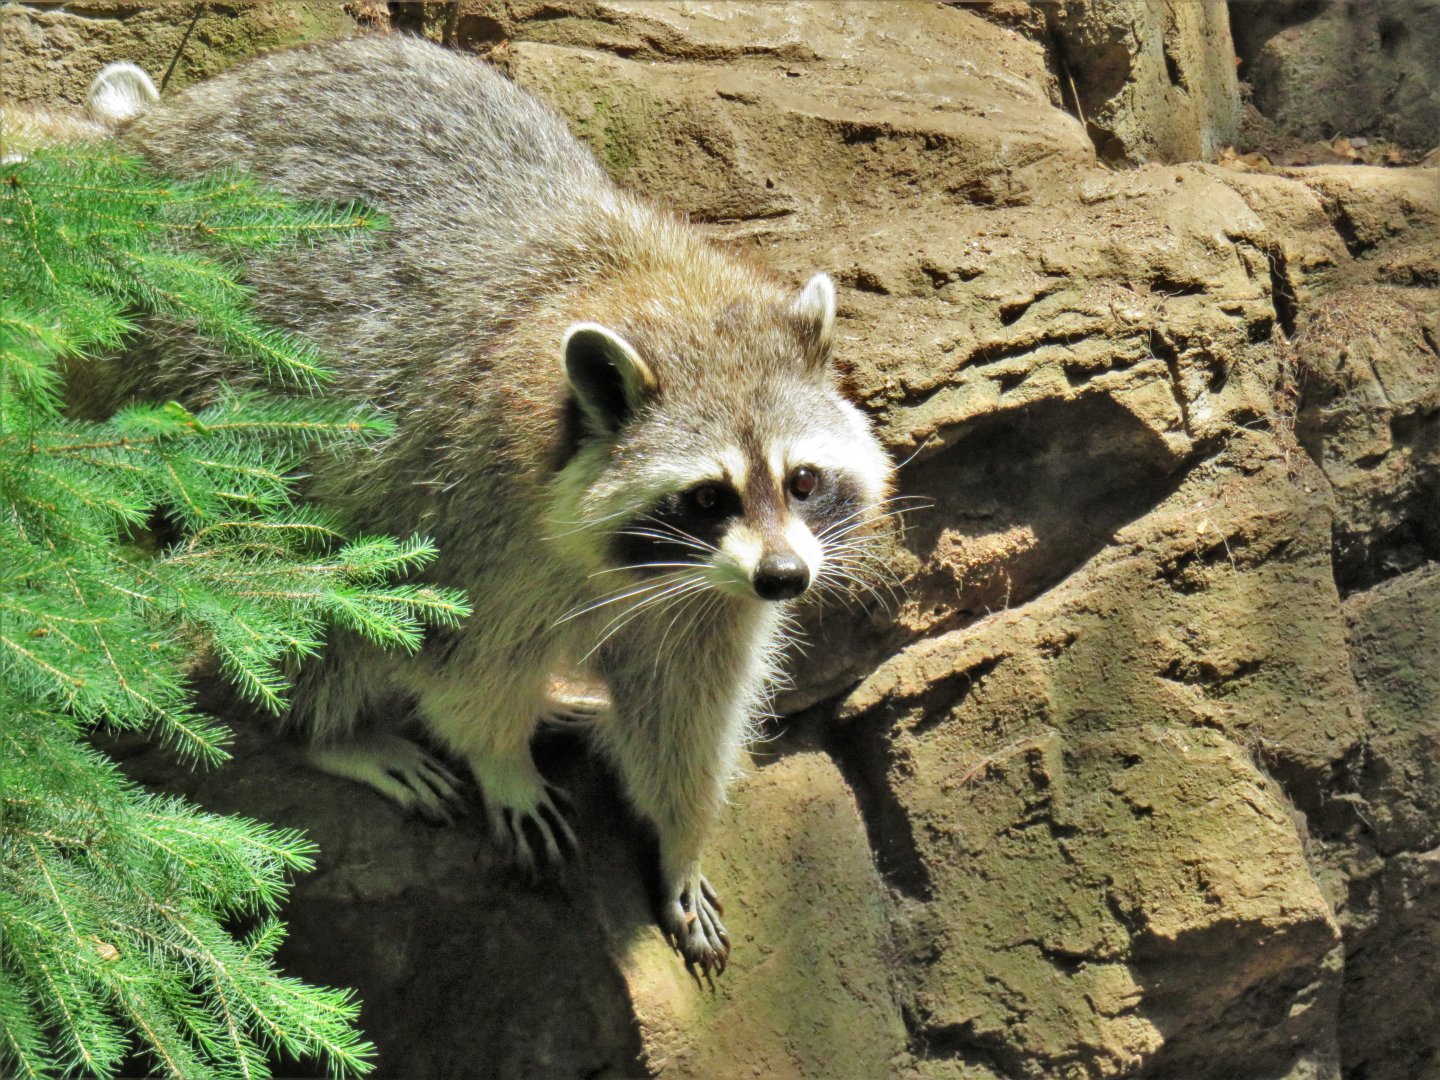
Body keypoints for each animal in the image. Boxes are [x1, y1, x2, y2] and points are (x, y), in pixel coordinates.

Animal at [115, 35, 893, 973]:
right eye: (708, 496)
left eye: (804, 481)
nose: (785, 580)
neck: (663, 296)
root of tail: (170, 122)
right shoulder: (463, 506)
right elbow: (455, 656)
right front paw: (499, 759)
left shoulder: (709, 598)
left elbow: (687, 705)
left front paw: (681, 837)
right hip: (206, 388)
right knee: (297, 588)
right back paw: (332, 731)